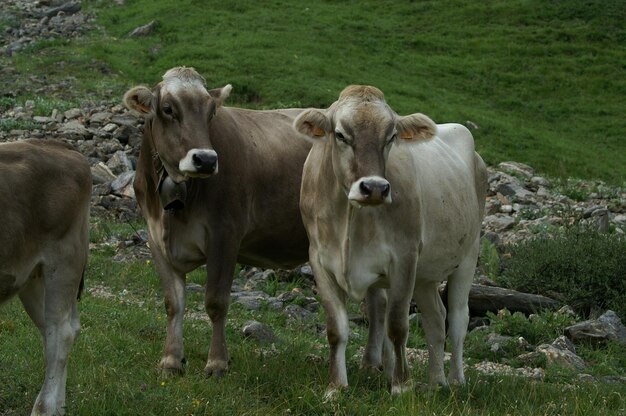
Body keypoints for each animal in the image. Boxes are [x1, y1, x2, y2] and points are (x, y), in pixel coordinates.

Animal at [0, 138, 91, 414]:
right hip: (33, 276)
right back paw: (58, 406)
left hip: (64, 261)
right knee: (53, 332)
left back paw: (44, 407)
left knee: (61, 332)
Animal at [122, 67, 310, 376]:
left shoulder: (225, 235)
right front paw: (171, 360)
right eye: (168, 109)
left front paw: (217, 363)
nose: (206, 159)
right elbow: (173, 303)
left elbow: (216, 302)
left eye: (211, 112)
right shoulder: (155, 237)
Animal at [292, 83, 488, 396]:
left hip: (469, 254)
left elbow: (396, 326)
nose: (374, 188)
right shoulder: (320, 260)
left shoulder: (404, 259)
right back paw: (437, 382)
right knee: (436, 318)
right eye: (340, 134)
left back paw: (457, 380)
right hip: (426, 274)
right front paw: (336, 387)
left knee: (458, 318)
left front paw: (400, 386)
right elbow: (336, 329)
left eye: (392, 136)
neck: (351, 220)